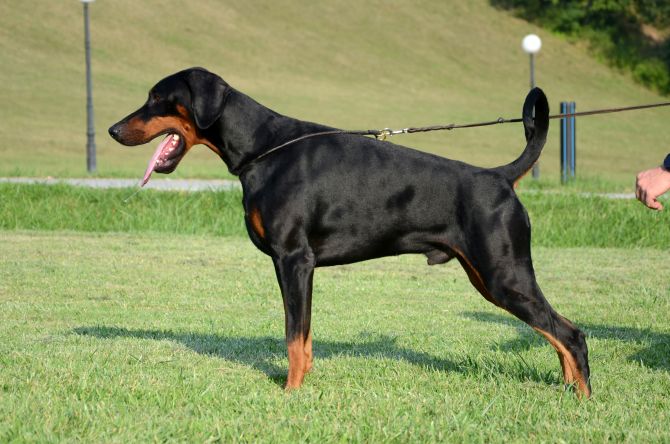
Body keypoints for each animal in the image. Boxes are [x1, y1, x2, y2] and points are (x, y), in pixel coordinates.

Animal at [109, 67, 591, 397]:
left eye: (157, 98)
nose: (113, 129)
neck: (264, 148)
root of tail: (500, 177)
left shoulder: (293, 260)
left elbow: (293, 335)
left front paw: (291, 393)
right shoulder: (299, 267)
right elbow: (304, 336)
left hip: (503, 275)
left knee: (571, 334)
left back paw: (582, 399)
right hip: (490, 278)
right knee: (558, 334)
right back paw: (568, 389)